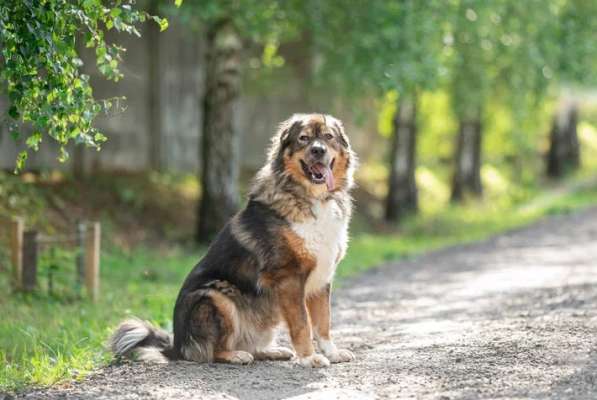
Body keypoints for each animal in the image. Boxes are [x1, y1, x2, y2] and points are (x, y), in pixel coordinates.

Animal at [110, 113, 356, 368]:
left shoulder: (322, 279)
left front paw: (332, 353)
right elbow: (302, 324)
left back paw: (272, 351)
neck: (312, 198)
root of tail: (176, 346)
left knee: (252, 345)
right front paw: (309, 357)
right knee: (213, 352)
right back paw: (237, 355)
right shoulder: (289, 277)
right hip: (216, 297)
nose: (318, 150)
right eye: (304, 138)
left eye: (328, 137)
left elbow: (323, 322)